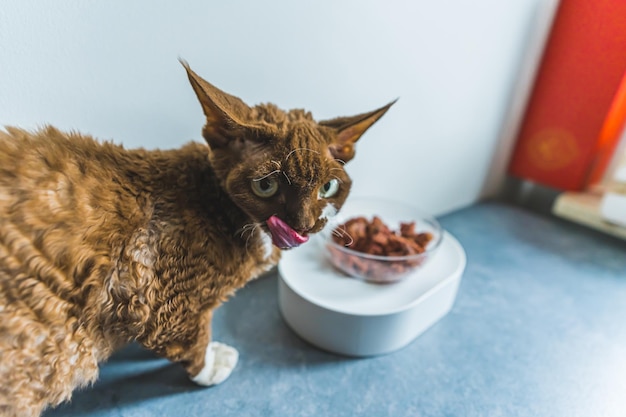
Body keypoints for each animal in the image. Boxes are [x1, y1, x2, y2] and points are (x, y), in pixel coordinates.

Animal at [0, 61, 392, 416]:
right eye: (266, 186)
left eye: (328, 187)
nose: (305, 225)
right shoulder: (168, 304)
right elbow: (190, 340)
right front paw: (212, 365)